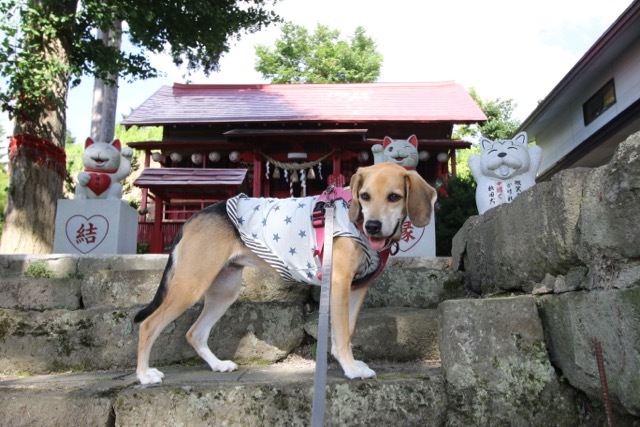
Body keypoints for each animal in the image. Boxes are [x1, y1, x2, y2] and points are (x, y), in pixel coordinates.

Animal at [134, 162, 436, 386]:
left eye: (394, 197)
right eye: (364, 196)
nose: (372, 226)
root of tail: (195, 216)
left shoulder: (356, 289)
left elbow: (346, 332)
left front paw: (348, 362)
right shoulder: (339, 283)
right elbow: (341, 334)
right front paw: (350, 369)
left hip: (224, 291)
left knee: (195, 333)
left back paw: (218, 365)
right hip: (191, 285)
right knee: (149, 325)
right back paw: (145, 375)